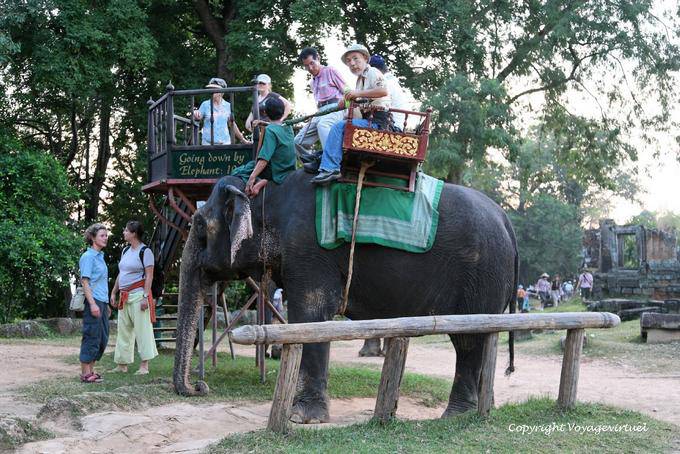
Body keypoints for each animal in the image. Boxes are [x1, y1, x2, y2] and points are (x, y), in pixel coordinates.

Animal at [173, 170, 518, 423]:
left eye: (200, 226)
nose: (201, 387)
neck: (267, 193)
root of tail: (505, 218)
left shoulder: (308, 250)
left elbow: (311, 316)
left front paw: (301, 418)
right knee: (479, 341)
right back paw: (485, 408)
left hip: (482, 274)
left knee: (469, 341)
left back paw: (456, 416)